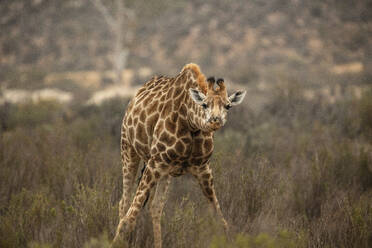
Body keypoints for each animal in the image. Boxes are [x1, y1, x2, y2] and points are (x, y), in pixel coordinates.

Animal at [113, 63, 247, 246]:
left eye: (228, 106)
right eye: (204, 104)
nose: (215, 120)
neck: (191, 123)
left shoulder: (202, 168)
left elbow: (221, 220)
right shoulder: (155, 162)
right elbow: (128, 220)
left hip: (165, 171)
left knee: (155, 207)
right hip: (128, 149)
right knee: (124, 203)